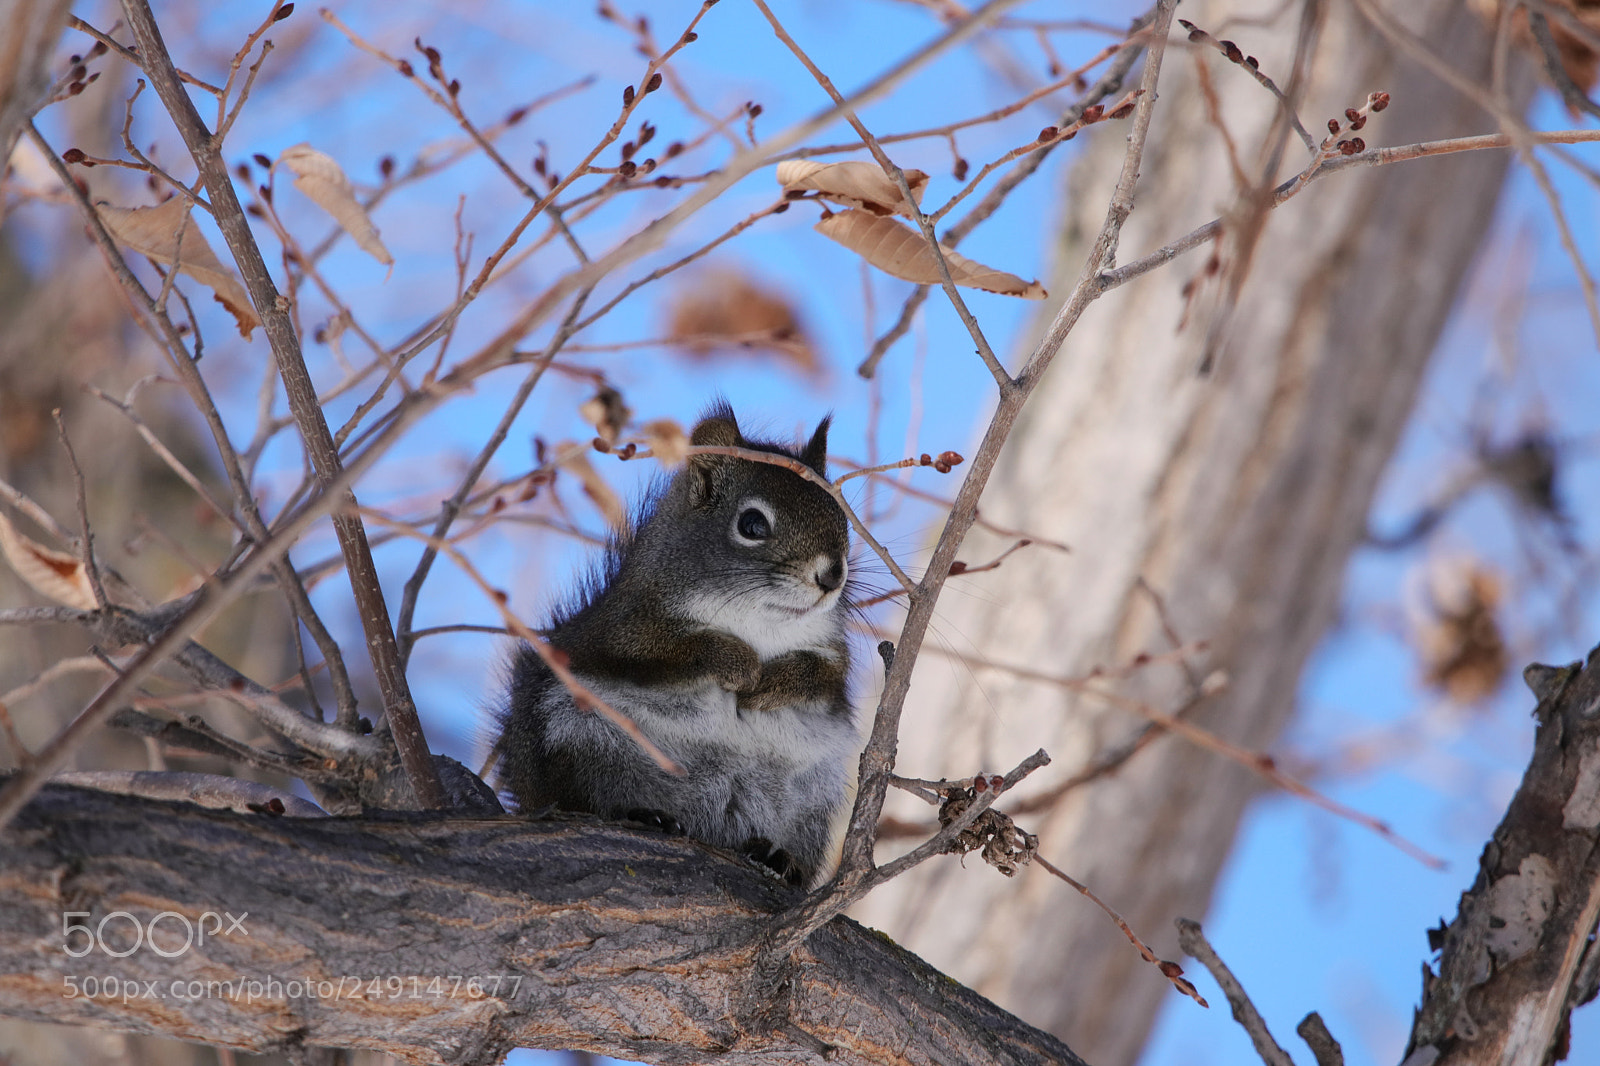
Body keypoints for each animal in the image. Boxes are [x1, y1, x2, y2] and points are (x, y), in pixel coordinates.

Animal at [495, 401, 857, 887]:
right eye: (752, 524)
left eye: (842, 515)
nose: (832, 575)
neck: (760, 624)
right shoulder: (626, 632)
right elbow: (674, 654)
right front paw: (740, 665)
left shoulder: (835, 655)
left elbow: (823, 678)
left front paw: (771, 683)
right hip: (579, 747)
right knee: (585, 797)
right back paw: (640, 814)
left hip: (810, 803)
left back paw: (781, 859)